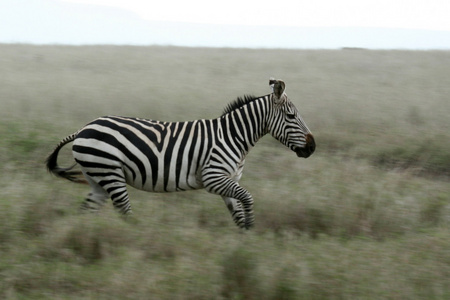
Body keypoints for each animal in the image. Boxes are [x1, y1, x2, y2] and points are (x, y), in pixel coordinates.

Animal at [45, 78, 312, 229]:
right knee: (124, 212)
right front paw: (251, 231)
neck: (233, 135)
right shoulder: (214, 177)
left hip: (97, 177)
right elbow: (248, 198)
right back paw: (131, 240)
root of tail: (83, 128)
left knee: (86, 213)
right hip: (110, 172)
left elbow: (237, 211)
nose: (312, 147)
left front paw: (245, 242)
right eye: (291, 116)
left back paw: (84, 238)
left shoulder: (227, 180)